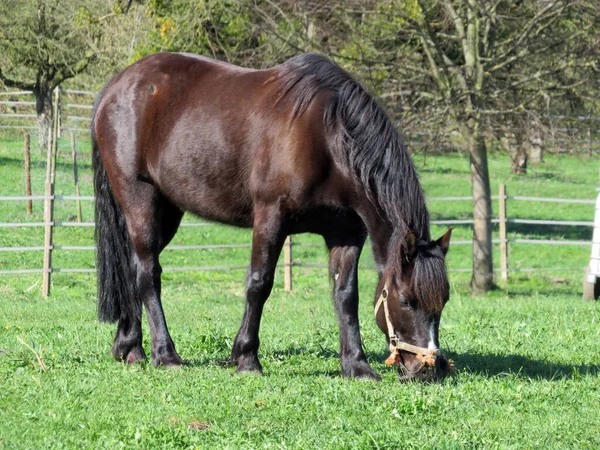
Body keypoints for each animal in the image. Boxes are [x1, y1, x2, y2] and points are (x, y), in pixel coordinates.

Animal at [91, 52, 452, 384]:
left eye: (444, 300)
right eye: (406, 300)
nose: (426, 369)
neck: (326, 136)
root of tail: (115, 86)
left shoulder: (347, 233)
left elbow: (346, 295)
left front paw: (357, 365)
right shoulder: (270, 217)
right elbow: (259, 284)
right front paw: (247, 358)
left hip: (167, 212)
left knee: (132, 268)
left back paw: (130, 346)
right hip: (141, 201)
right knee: (148, 273)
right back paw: (165, 354)